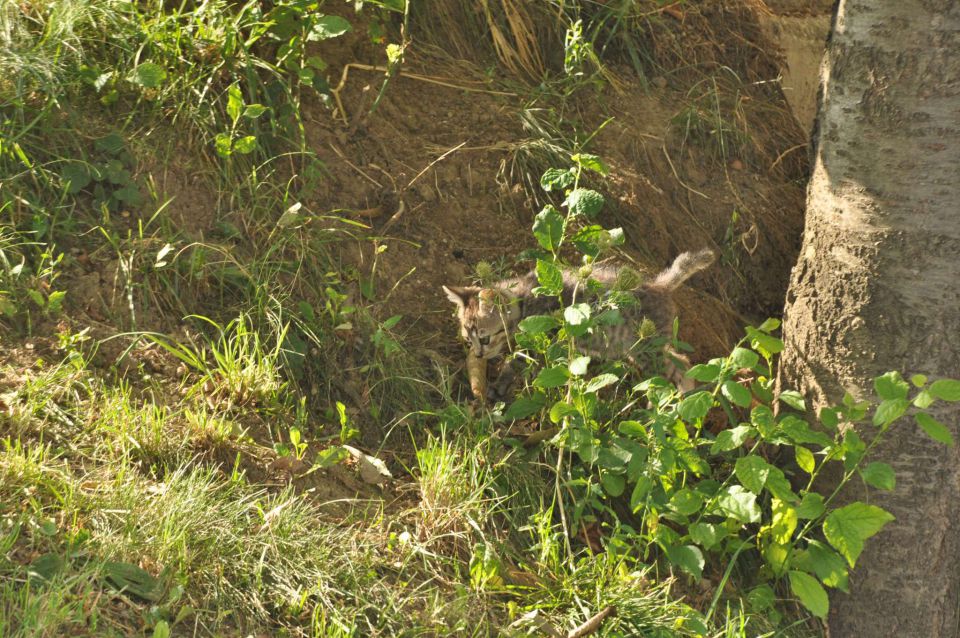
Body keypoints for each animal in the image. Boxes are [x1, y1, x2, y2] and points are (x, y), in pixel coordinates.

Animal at [442, 249, 712, 396]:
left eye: (485, 337)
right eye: (468, 339)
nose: (478, 355)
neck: (524, 298)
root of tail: (659, 285)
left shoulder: (543, 336)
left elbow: (516, 362)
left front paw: (499, 386)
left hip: (647, 349)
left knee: (681, 363)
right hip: (638, 349)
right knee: (681, 363)